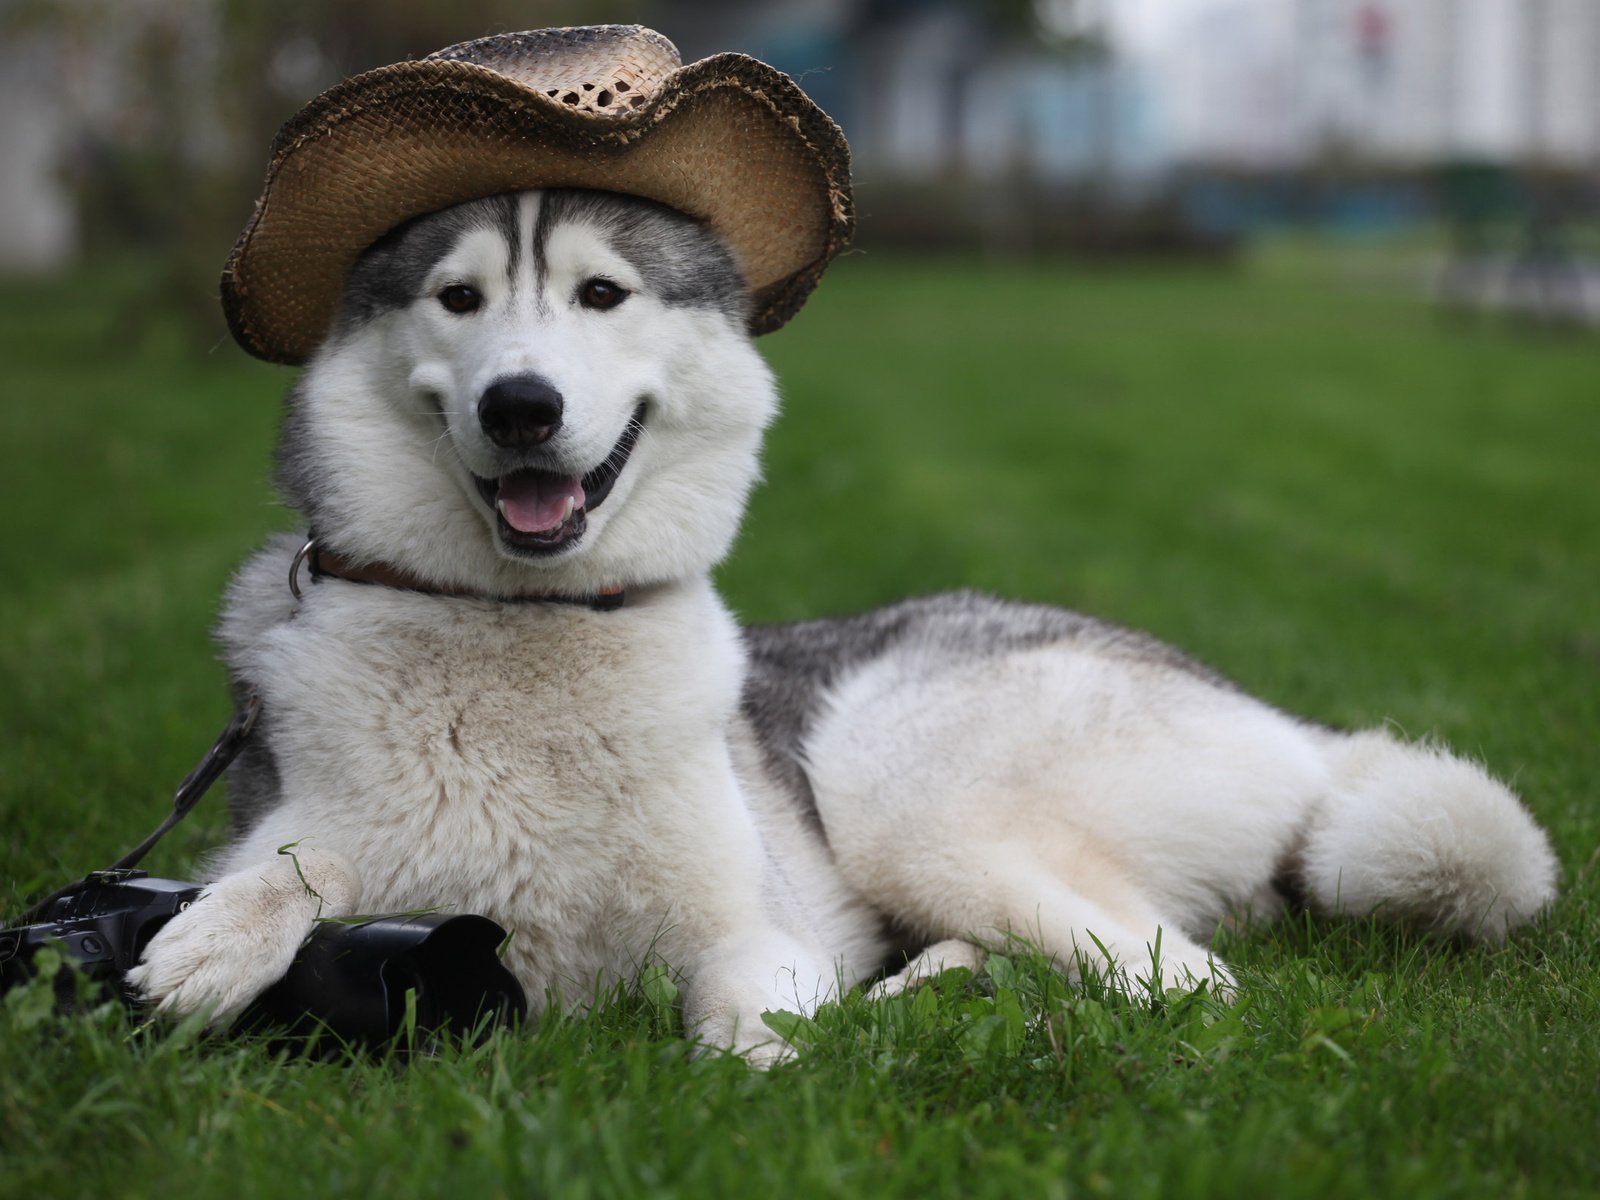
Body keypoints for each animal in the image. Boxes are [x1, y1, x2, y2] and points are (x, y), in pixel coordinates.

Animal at [128, 188, 1561, 1062]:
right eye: (457, 300)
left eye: (601, 295)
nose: (521, 406)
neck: (525, 636)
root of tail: (1287, 726)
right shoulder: (312, 828)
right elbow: (291, 863)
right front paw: (217, 936)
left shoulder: (753, 935)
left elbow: (738, 1045)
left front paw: (779, 1062)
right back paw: (936, 986)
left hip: (894, 783)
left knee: (1183, 983)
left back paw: (926, 999)